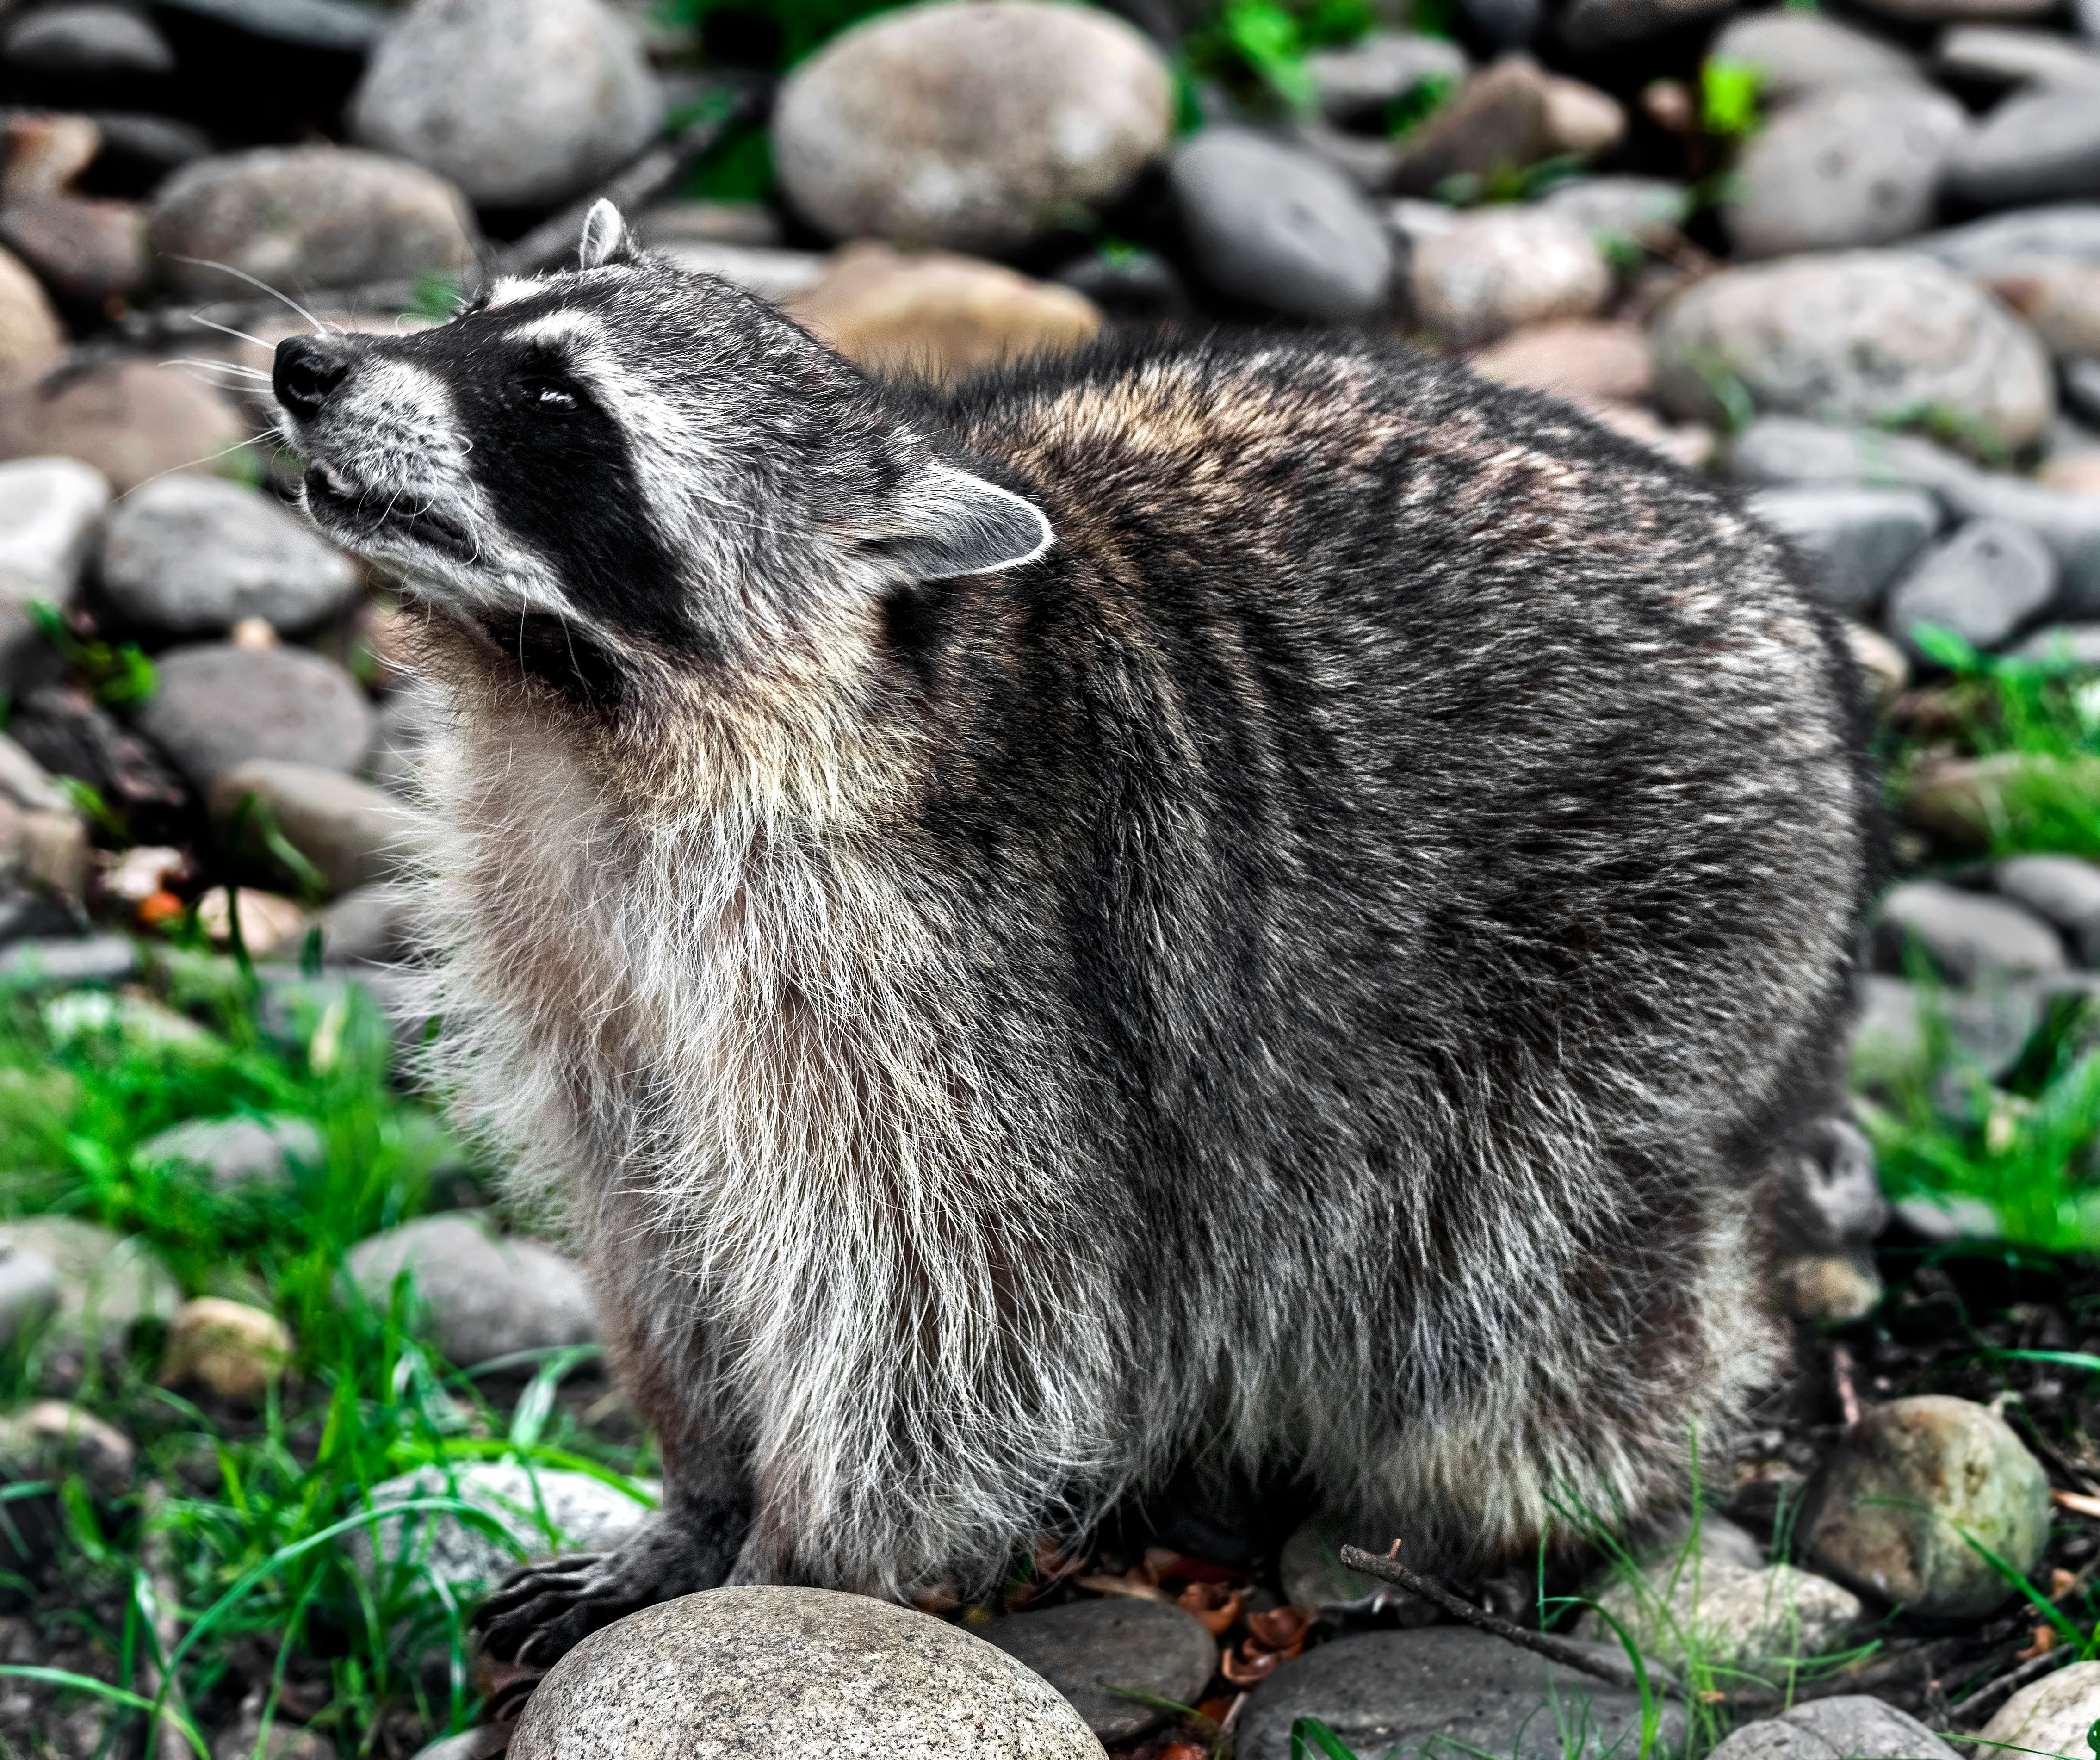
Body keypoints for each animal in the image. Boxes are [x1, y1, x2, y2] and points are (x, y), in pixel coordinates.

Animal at [275, 199, 1873, 1663]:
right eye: (472, 315)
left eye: (557, 406)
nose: (306, 361)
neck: (573, 713)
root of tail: (1779, 593)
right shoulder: (556, 920)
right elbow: (656, 1218)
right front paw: (699, 1487)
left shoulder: (941, 964)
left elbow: (943, 1297)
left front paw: (793, 1555)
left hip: (1647, 945)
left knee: (1529, 1267)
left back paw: (1524, 1500)